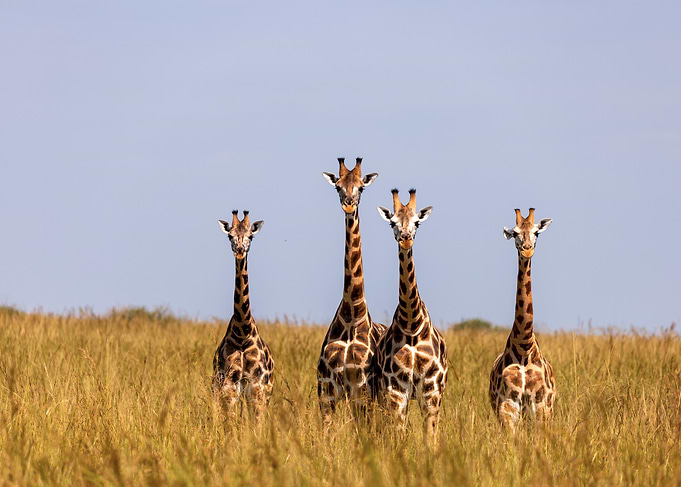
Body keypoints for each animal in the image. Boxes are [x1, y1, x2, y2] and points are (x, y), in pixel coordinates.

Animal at [213, 210, 274, 422]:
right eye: (230, 236)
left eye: (251, 236)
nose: (239, 251)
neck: (242, 331)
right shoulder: (230, 385)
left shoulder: (257, 385)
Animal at [317, 157, 387, 428]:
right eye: (338, 186)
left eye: (361, 188)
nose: (348, 205)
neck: (350, 314)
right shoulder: (327, 389)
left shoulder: (361, 387)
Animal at [374, 189, 448, 440]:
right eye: (392, 223)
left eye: (417, 222)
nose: (406, 238)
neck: (412, 324)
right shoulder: (396, 388)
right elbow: (399, 435)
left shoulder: (431, 388)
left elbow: (430, 437)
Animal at [489, 208, 555, 432]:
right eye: (515, 233)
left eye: (536, 232)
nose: (527, 250)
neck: (524, 347)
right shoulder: (507, 406)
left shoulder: (541, 405)